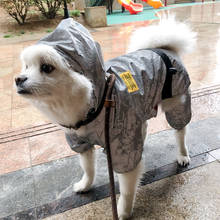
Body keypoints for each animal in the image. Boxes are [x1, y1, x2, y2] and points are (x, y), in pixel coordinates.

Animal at [15, 16, 196, 218]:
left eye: (46, 67)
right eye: (27, 67)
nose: (18, 79)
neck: (95, 104)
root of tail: (164, 48)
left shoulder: (121, 149)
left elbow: (127, 190)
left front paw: (123, 212)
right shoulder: (81, 142)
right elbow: (88, 168)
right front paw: (85, 185)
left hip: (178, 105)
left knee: (180, 131)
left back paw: (183, 155)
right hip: (140, 110)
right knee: (144, 127)